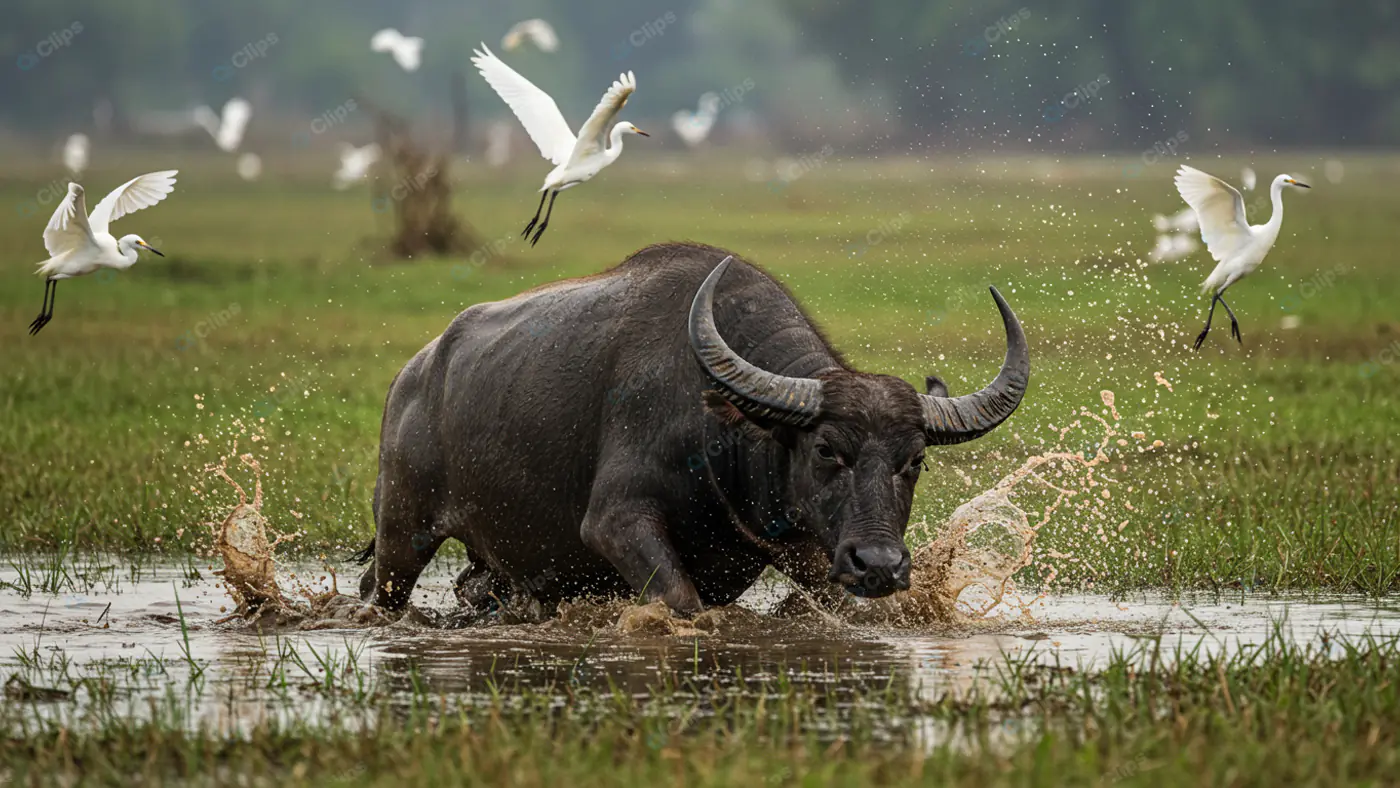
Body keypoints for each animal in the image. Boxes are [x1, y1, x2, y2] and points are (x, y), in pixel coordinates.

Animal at [356, 243, 1029, 615]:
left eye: (915, 460)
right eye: (825, 449)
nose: (881, 565)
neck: (718, 431)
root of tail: (413, 376)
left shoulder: (805, 551)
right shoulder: (616, 521)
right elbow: (679, 601)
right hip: (403, 531)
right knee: (380, 587)